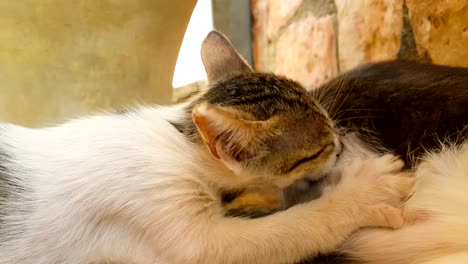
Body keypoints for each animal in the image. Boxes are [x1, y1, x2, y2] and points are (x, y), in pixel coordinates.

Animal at [0, 31, 414, 264]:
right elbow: (294, 227)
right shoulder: (180, 232)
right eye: (317, 150)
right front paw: (363, 191)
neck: (181, 143)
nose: (341, 144)